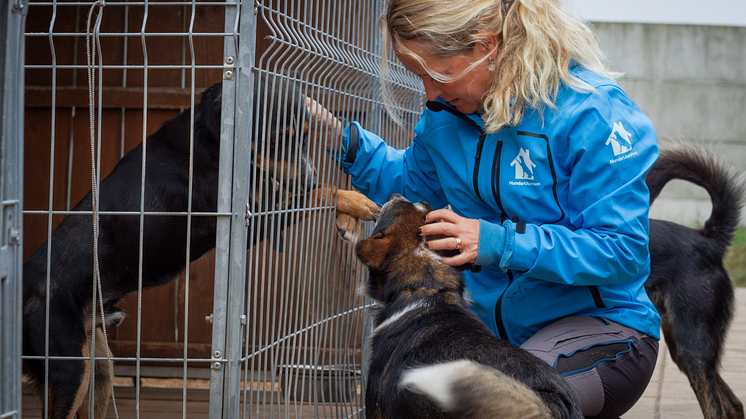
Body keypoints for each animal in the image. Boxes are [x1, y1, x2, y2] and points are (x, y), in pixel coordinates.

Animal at [21, 77, 380, 418]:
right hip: (69, 368)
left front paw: (349, 219)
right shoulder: (253, 219)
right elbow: (321, 193)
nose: (309, 177)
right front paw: (357, 202)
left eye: (307, 136)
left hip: (98, 367)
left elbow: (312, 195)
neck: (214, 140)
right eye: (276, 140)